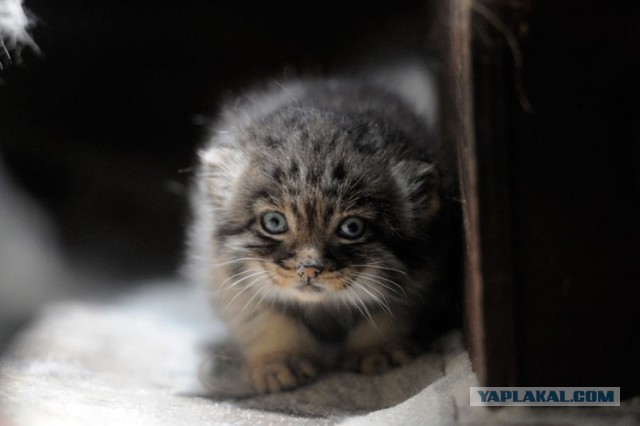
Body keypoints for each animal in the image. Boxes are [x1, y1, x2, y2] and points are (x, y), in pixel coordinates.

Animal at [188, 68, 452, 394]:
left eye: (351, 228)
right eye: (274, 222)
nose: (309, 269)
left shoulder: (421, 275)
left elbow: (388, 311)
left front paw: (377, 348)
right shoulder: (224, 276)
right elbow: (261, 316)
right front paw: (279, 358)